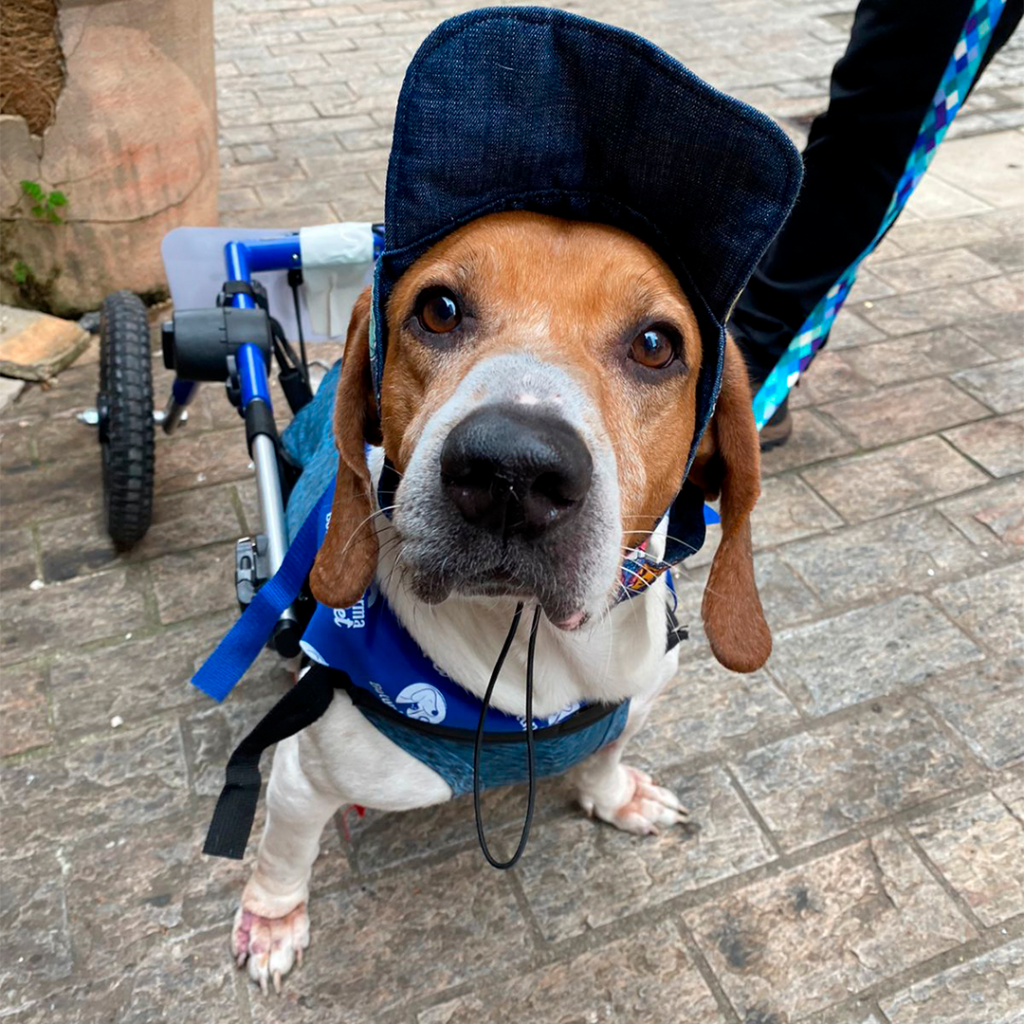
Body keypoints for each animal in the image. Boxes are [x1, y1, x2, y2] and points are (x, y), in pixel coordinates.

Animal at [230, 209, 770, 991]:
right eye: (439, 310)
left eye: (655, 345)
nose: (513, 469)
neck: (537, 650)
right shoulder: (304, 776)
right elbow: (284, 854)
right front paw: (272, 920)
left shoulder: (638, 696)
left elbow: (606, 753)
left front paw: (614, 796)